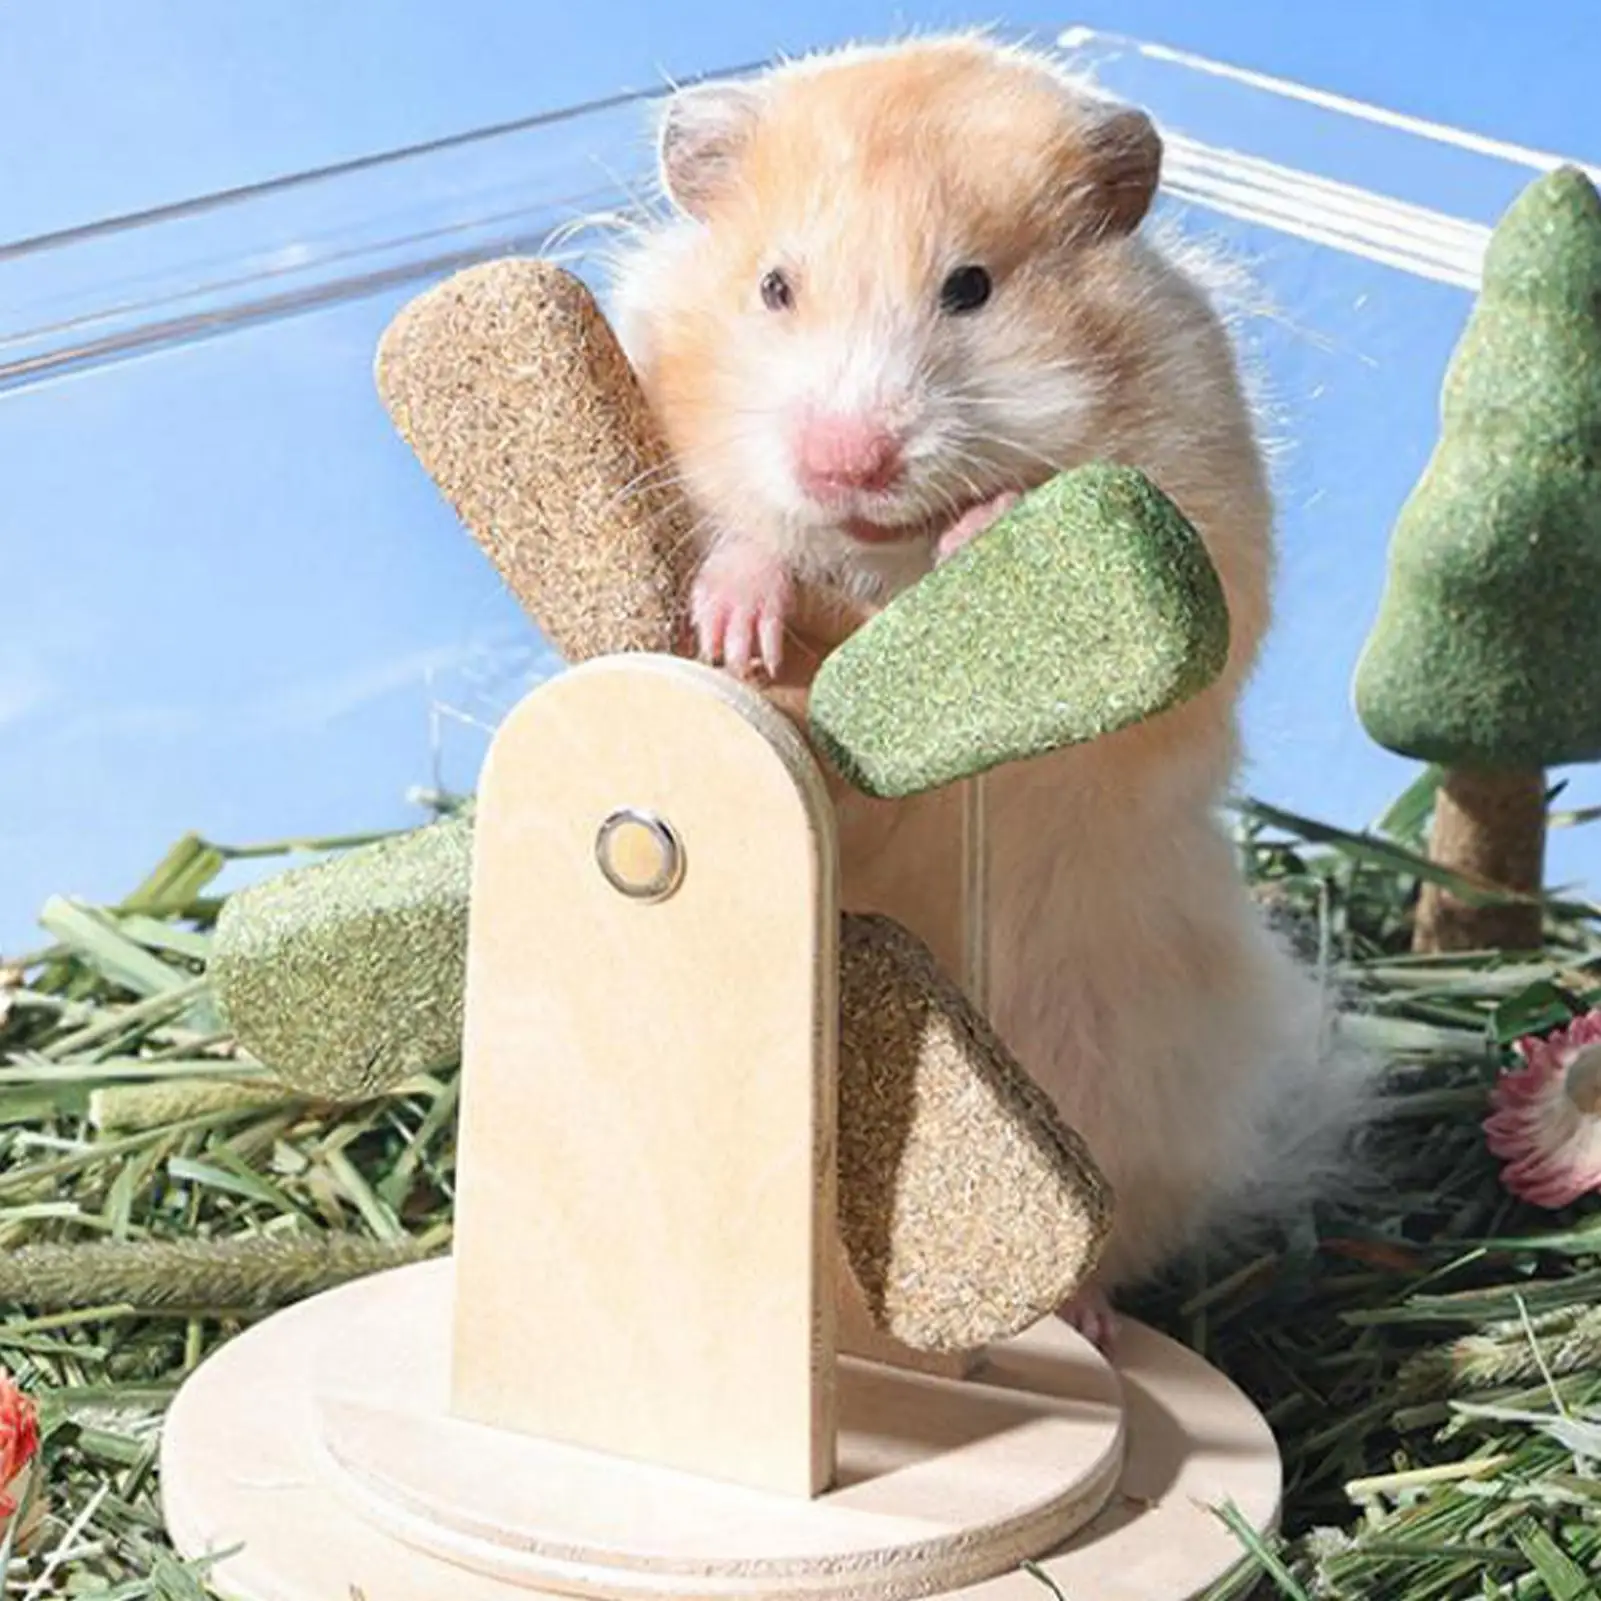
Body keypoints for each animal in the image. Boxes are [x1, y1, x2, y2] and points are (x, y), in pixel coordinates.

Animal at [607, 33, 1374, 1351]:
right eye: (772, 288)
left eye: (969, 288)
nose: (847, 460)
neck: (882, 553)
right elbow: (745, 542)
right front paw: (737, 630)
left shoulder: (1208, 517)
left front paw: (981, 528)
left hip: (1116, 1100)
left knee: (1102, 1242)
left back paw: (1088, 1326)